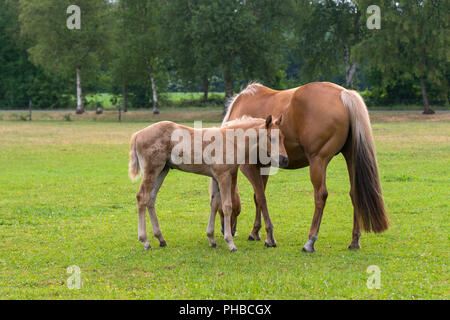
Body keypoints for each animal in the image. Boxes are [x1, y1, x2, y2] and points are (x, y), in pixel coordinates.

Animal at [128, 116, 286, 251]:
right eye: (271, 138)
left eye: (283, 137)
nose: (284, 159)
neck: (232, 141)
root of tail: (138, 134)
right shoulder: (223, 176)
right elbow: (226, 206)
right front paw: (230, 243)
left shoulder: (216, 177)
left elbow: (214, 204)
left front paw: (211, 239)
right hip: (152, 170)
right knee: (142, 197)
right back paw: (145, 241)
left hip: (163, 170)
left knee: (151, 198)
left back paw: (161, 239)